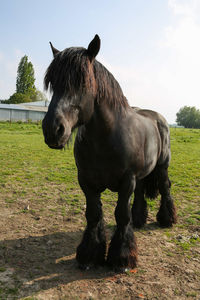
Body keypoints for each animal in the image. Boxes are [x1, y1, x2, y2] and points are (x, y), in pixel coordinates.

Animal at [42, 35, 177, 272]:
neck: (106, 139)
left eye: (83, 82)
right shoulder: (87, 181)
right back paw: (139, 219)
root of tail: (158, 117)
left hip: (162, 167)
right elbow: (93, 214)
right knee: (140, 192)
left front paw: (122, 257)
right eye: (53, 83)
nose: (53, 130)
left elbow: (121, 215)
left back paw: (166, 219)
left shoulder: (126, 181)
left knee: (164, 187)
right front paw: (90, 254)